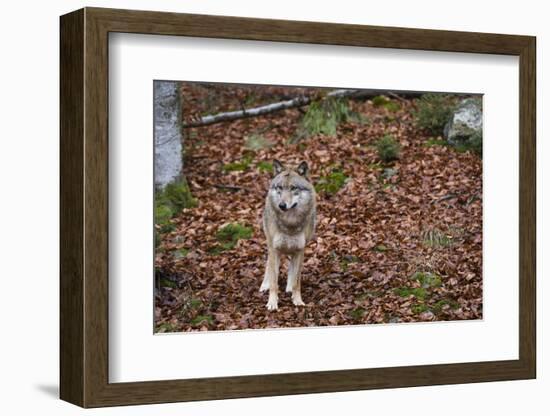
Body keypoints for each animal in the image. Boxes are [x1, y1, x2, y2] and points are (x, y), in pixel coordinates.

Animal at [260, 161, 316, 310]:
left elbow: (297, 281)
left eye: (293, 188)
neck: (290, 223)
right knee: (269, 265)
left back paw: (289, 287)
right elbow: (274, 282)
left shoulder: (300, 250)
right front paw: (272, 303)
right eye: (280, 187)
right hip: (270, 244)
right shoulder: (275, 250)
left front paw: (297, 300)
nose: (282, 205)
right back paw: (264, 286)